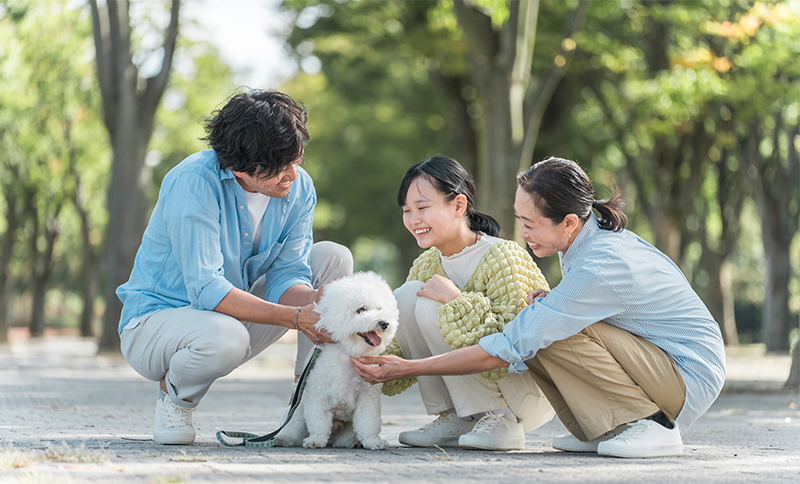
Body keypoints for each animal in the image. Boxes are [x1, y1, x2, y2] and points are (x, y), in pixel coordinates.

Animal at [276, 272, 398, 450]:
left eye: (380, 309)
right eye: (361, 310)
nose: (384, 323)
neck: (347, 353)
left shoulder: (368, 396)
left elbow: (368, 421)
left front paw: (373, 441)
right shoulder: (317, 395)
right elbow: (318, 422)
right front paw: (316, 440)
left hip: (347, 432)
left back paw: (356, 442)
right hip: (296, 413)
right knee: (292, 428)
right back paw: (282, 439)